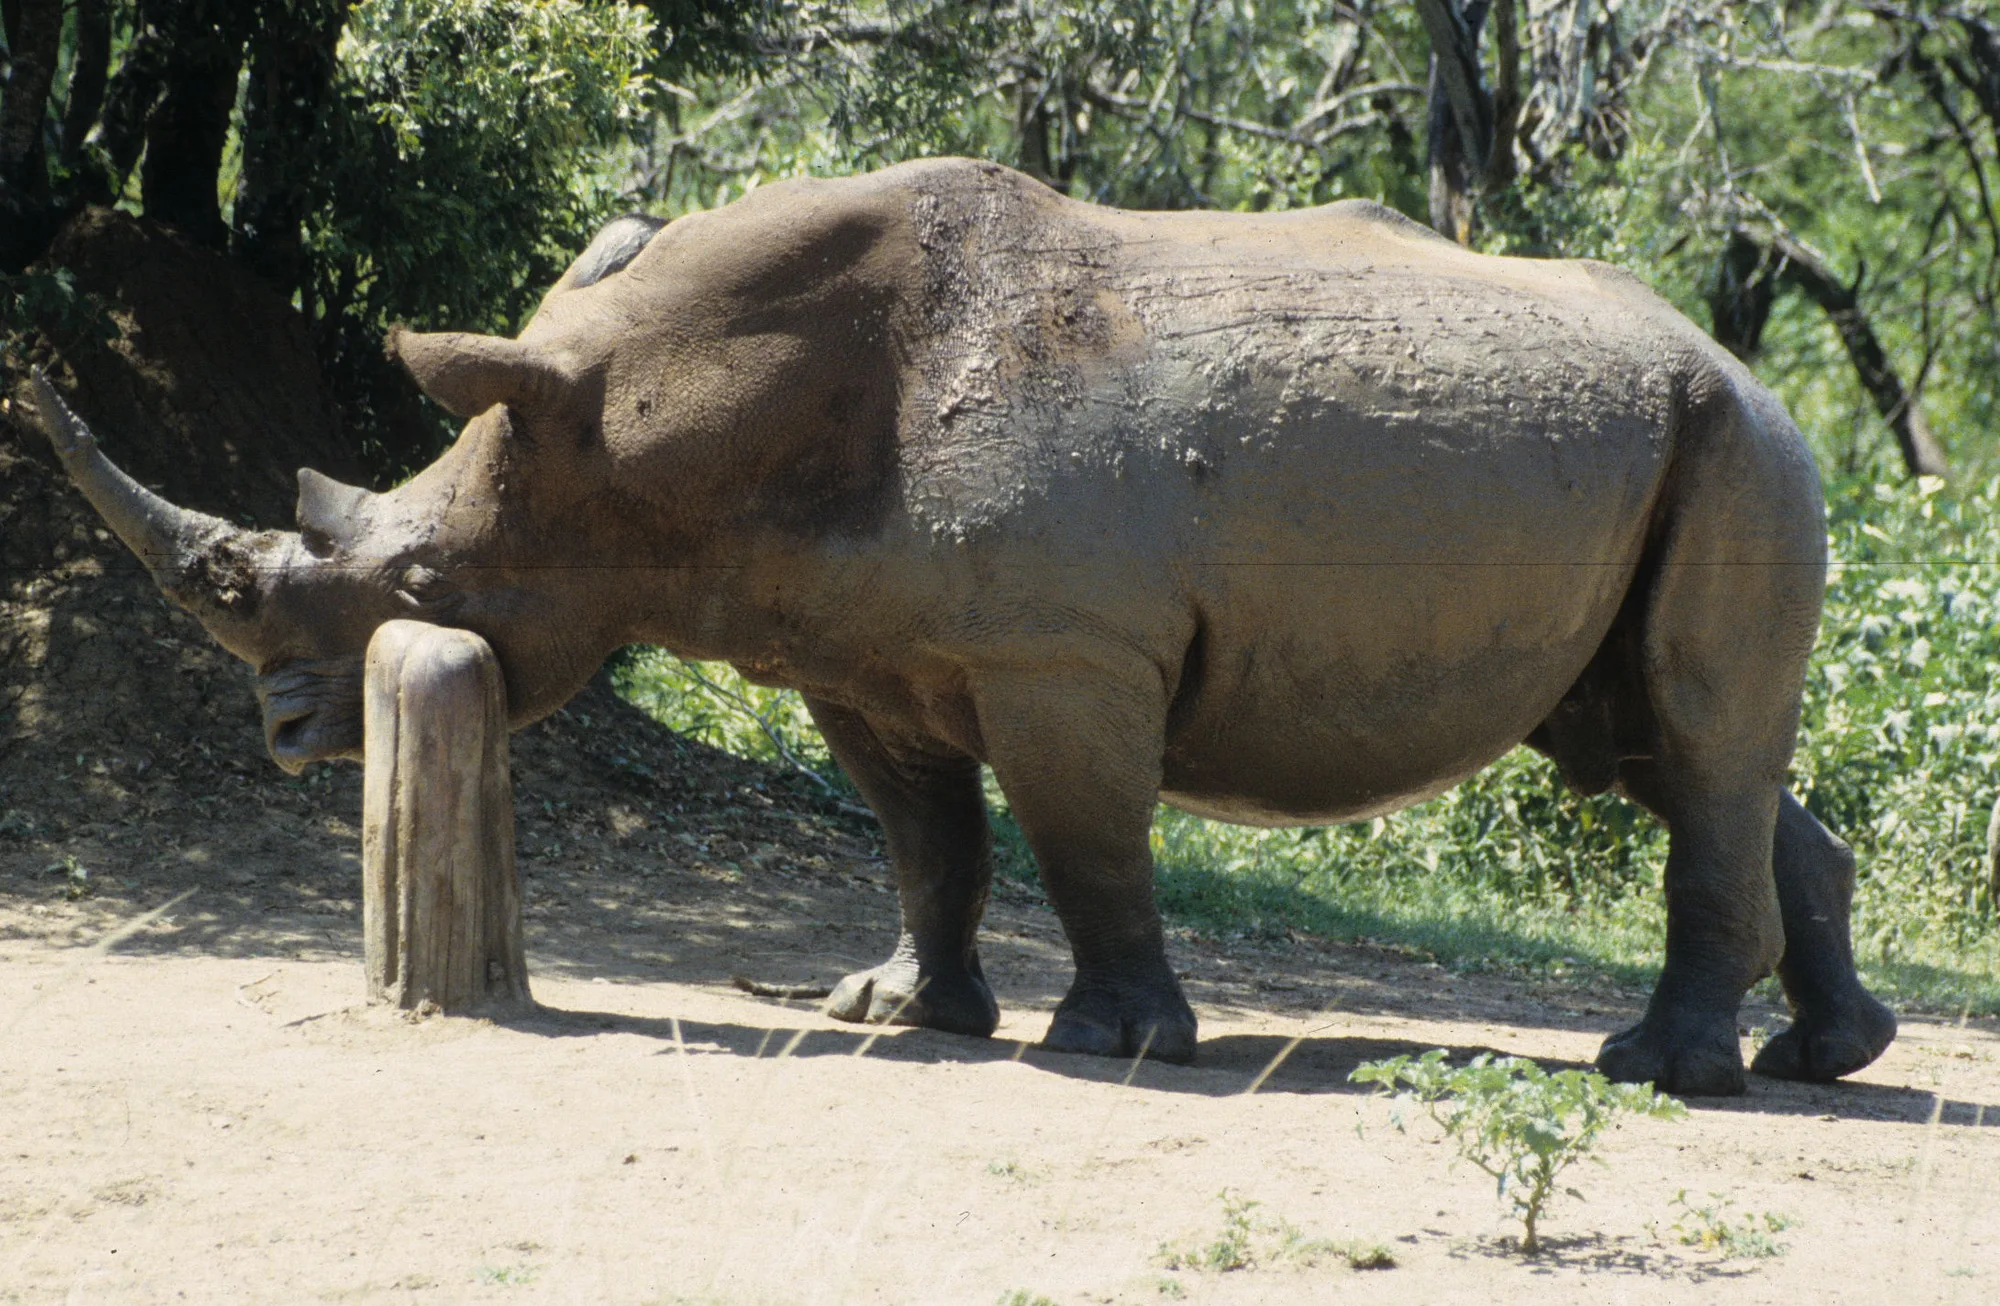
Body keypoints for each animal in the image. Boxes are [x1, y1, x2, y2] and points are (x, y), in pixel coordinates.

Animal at [30, 157, 1896, 1096]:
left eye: (419, 596)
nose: (288, 731)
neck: (651, 419)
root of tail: (1741, 364)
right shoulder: (859, 651)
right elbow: (925, 838)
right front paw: (894, 1014)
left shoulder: (1065, 653)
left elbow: (1084, 841)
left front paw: (1113, 1045)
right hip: (1662, 446)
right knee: (1649, 742)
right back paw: (1829, 1054)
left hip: (1737, 446)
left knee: (1694, 744)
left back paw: (1664, 1072)